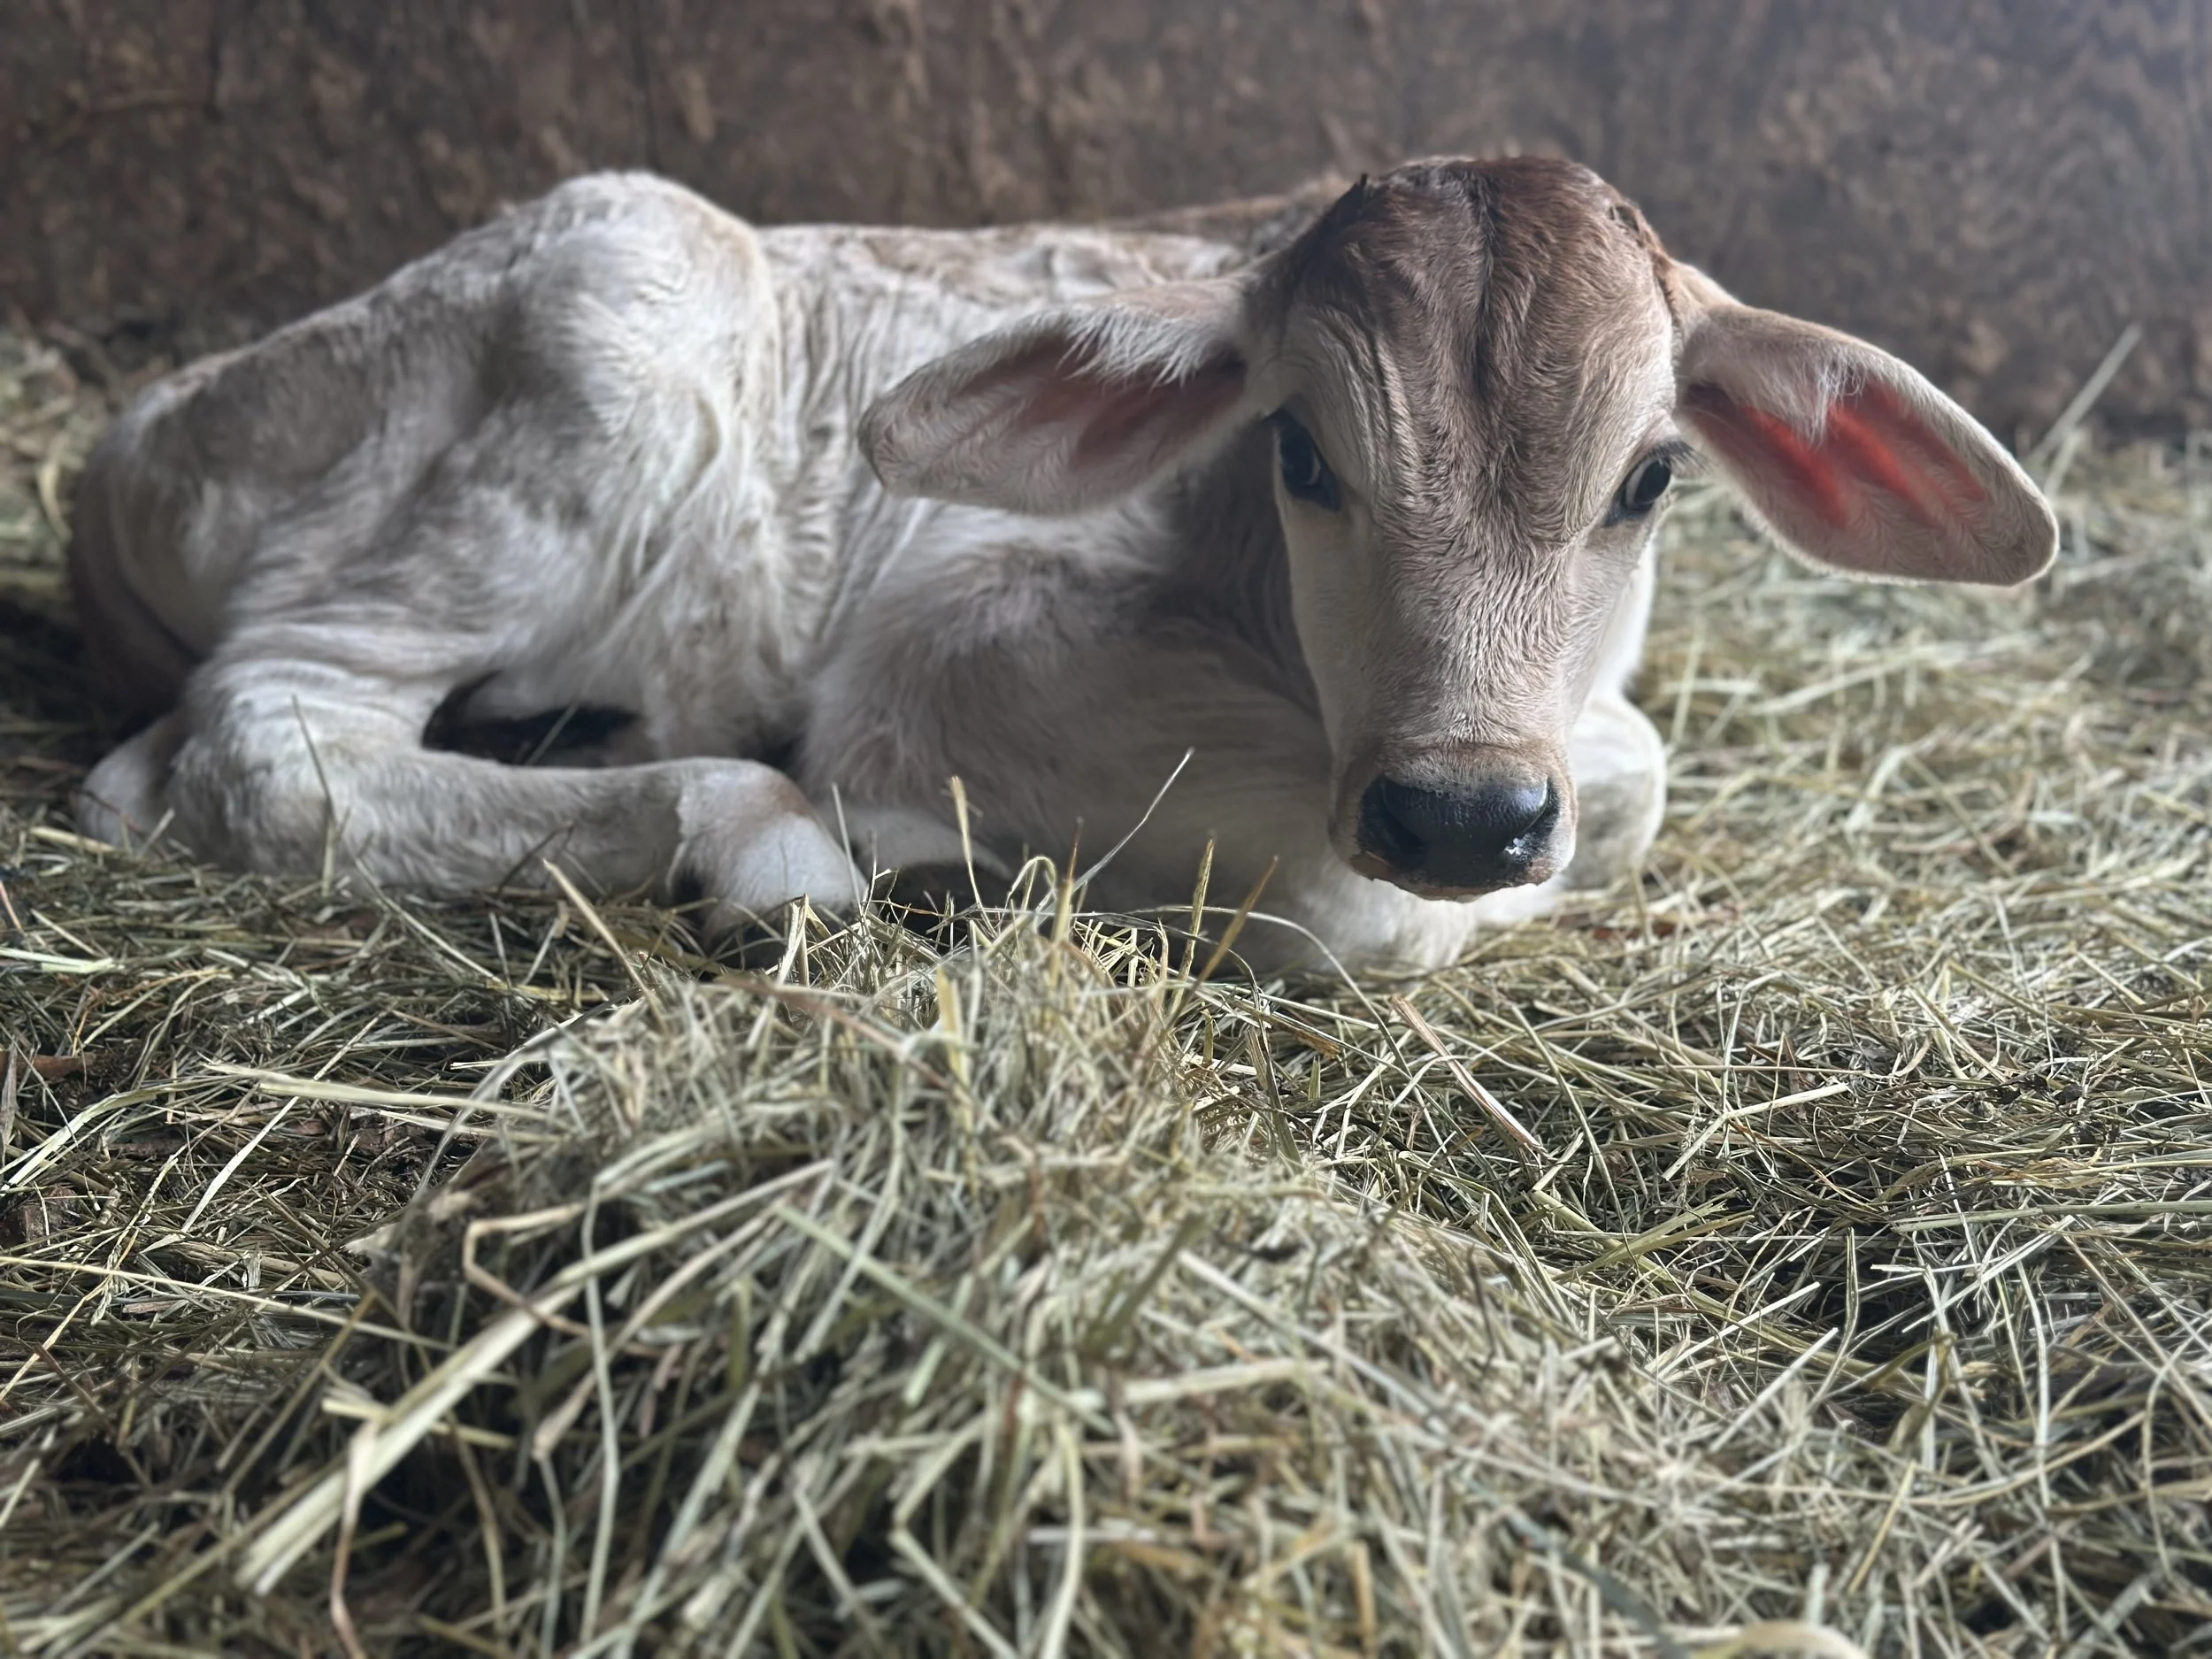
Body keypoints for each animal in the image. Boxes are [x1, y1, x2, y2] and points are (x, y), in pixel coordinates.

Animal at [71, 158, 2056, 972]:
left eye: (1648, 477)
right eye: (1303, 452)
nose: (1460, 814)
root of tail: (135, 420)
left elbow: (1632, 775)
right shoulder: (935, 658)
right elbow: (1359, 916)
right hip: (606, 335)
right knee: (275, 741)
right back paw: (766, 839)